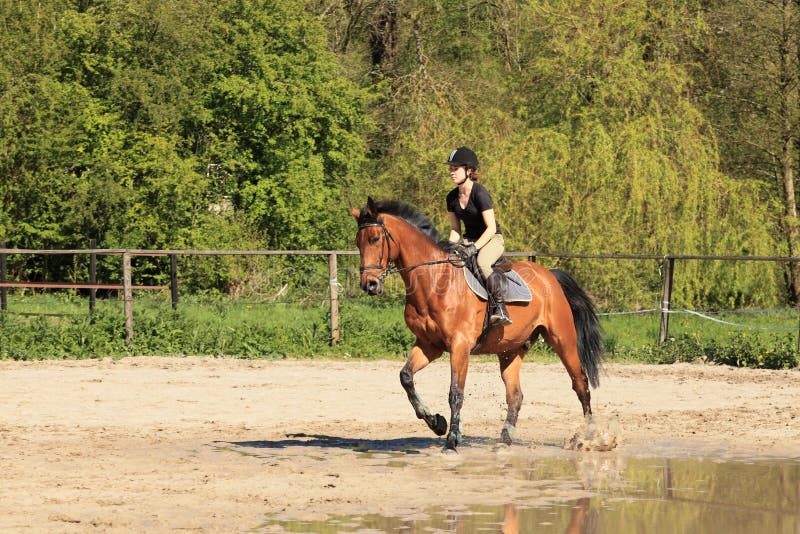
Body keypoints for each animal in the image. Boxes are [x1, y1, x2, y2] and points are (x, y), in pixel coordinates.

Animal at [346, 197, 604, 452]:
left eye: (375, 239)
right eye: (358, 242)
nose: (369, 285)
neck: (435, 281)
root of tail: (549, 275)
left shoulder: (459, 346)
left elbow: (455, 393)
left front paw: (451, 440)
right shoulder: (429, 345)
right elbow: (406, 377)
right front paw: (437, 423)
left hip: (562, 338)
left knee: (580, 383)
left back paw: (590, 435)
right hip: (510, 349)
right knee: (515, 394)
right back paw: (505, 438)